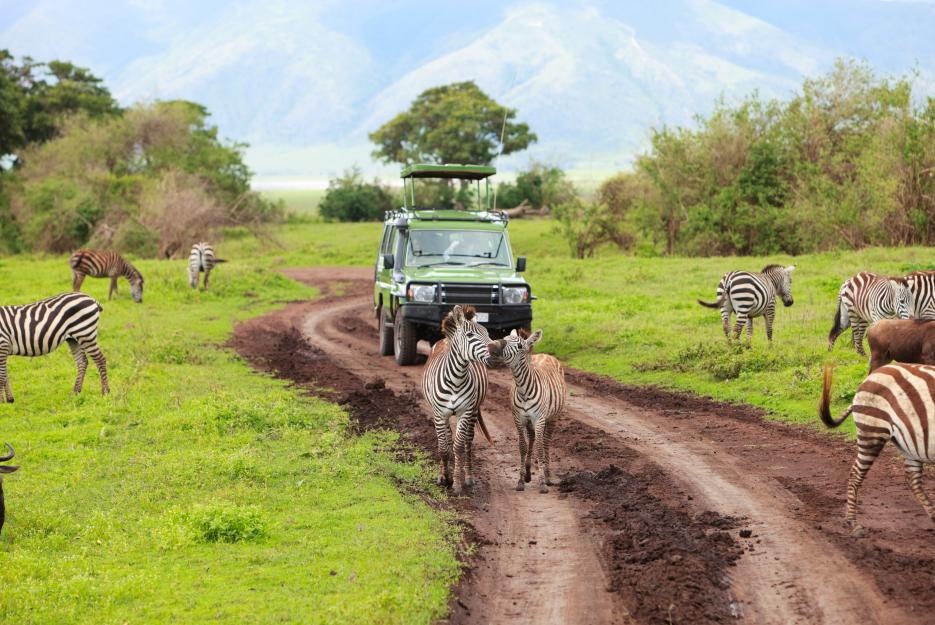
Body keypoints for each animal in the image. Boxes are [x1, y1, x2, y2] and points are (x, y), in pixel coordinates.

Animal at [422, 304, 498, 494]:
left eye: (487, 333)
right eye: (470, 335)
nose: (496, 352)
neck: (456, 379)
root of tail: (445, 339)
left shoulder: (465, 412)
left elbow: (458, 447)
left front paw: (456, 483)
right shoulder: (439, 414)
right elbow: (443, 448)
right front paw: (444, 477)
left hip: (473, 411)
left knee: (467, 443)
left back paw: (468, 477)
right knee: (448, 439)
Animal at [494, 326, 568, 492]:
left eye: (519, 346)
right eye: (504, 338)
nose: (494, 348)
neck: (523, 389)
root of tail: (545, 354)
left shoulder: (539, 419)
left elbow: (540, 448)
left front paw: (542, 483)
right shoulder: (519, 419)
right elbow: (523, 446)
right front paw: (521, 480)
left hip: (552, 417)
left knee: (545, 442)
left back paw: (547, 475)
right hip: (530, 422)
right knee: (533, 439)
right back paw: (528, 472)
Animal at [820, 360, 935, 532]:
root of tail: (871, 376)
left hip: (911, 446)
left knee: (912, 480)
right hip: (872, 431)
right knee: (855, 474)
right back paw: (852, 523)